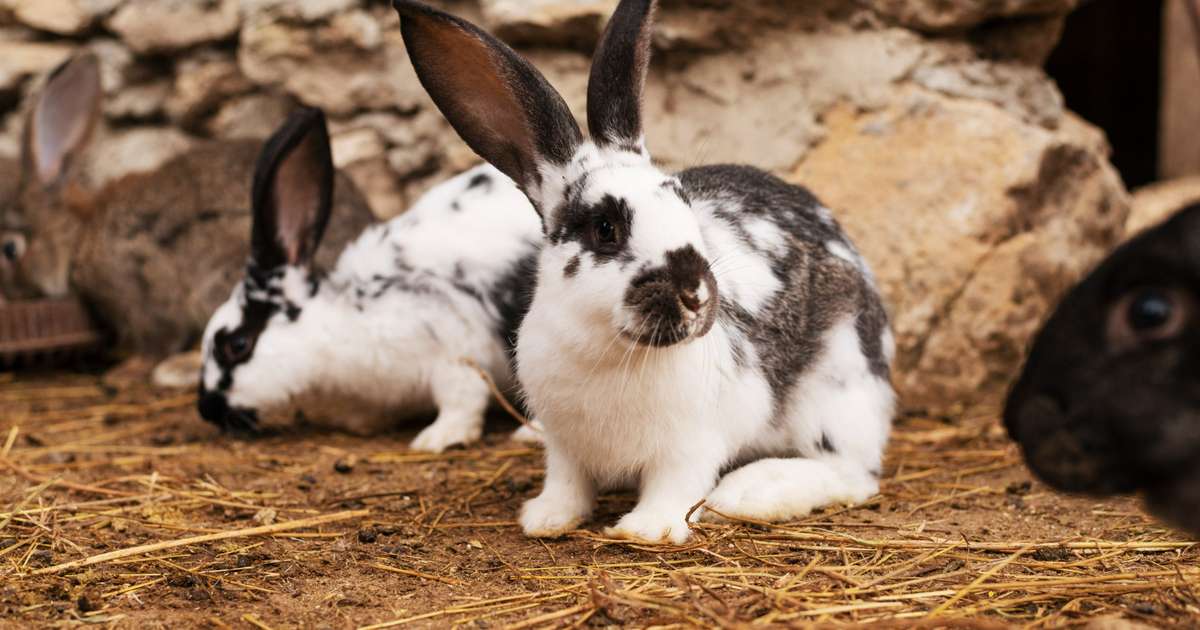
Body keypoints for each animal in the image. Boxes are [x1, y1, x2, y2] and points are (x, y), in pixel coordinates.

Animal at [0, 52, 374, 357]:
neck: (78, 236)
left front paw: (127, 370)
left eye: (9, 248)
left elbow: (159, 337)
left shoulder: (138, 284)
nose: (9, 293)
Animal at [391, 0, 892, 540]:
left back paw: (748, 493)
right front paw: (546, 519)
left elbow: (676, 485)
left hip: (835, 392)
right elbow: (566, 483)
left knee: (853, 474)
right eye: (605, 227)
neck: (607, 349)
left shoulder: (693, 442)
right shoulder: (564, 446)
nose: (695, 293)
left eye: (684, 203)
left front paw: (644, 529)